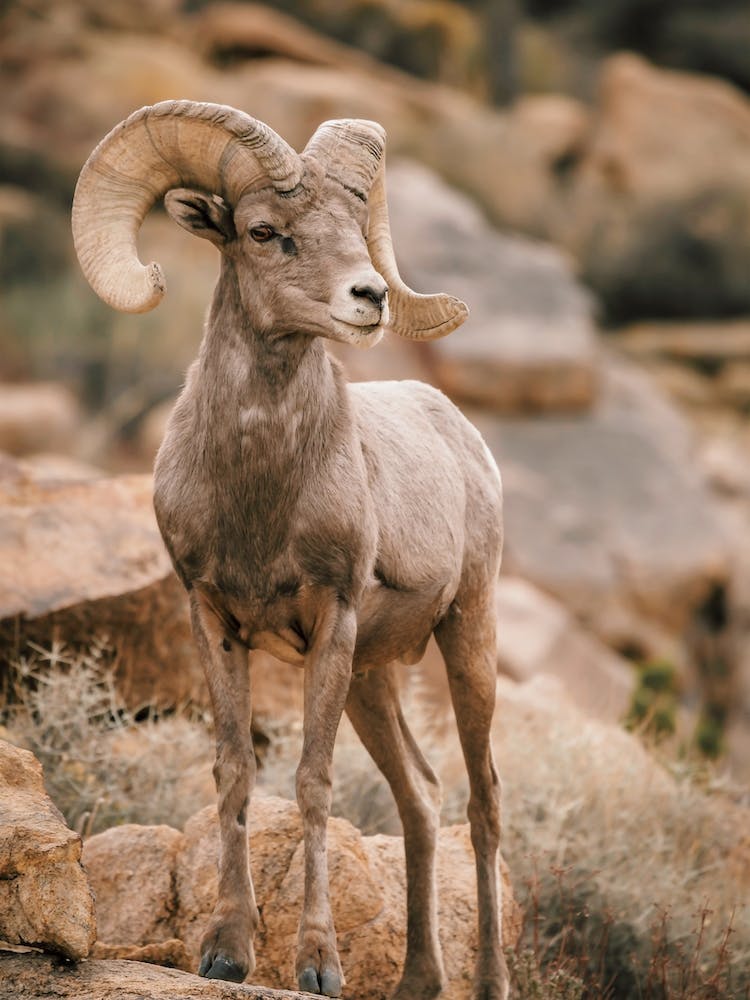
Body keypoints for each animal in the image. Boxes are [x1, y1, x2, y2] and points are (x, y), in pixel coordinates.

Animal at [72, 101, 508, 1000]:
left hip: (465, 637)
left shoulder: (329, 621)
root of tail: (461, 433)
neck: (259, 491)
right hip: (373, 680)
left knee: (482, 802)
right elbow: (235, 771)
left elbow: (311, 782)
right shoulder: (214, 620)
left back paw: (488, 983)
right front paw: (226, 952)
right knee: (421, 796)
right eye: (265, 232)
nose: (368, 296)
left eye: (354, 226)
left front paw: (317, 964)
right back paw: (419, 981)